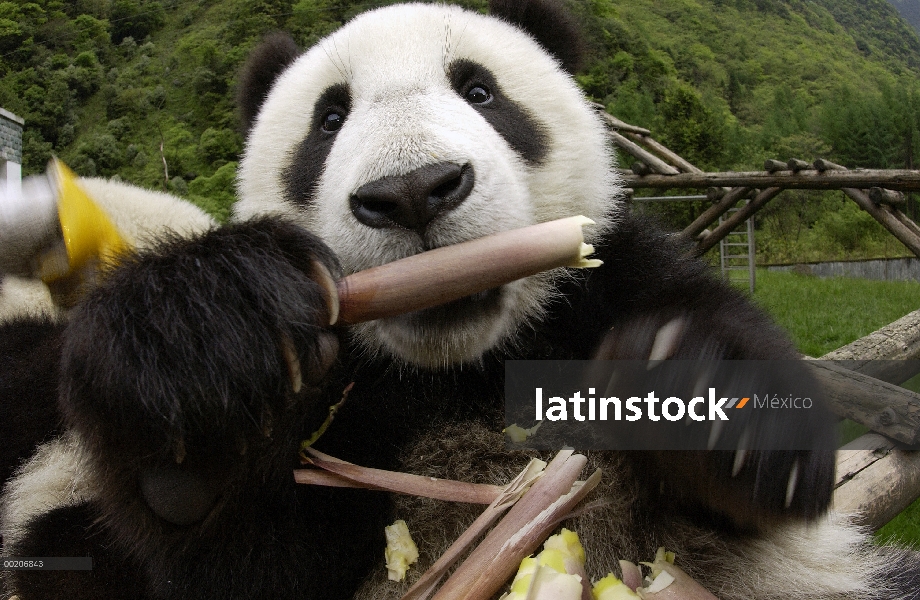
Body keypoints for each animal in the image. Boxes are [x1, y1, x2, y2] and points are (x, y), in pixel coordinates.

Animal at [1, 0, 920, 596]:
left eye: (480, 90)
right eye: (328, 119)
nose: (413, 190)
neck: (462, 370)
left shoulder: (612, 284)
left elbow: (770, 489)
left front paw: (698, 394)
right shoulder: (351, 406)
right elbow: (245, 555)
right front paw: (204, 373)